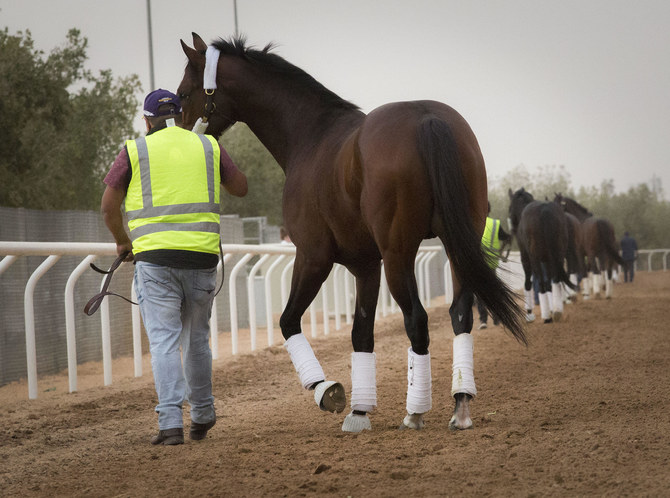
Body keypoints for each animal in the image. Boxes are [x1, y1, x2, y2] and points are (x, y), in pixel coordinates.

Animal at [180, 34, 532, 432]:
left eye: (185, 90)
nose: (177, 132)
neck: (311, 137)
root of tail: (427, 117)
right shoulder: (365, 265)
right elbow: (361, 332)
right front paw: (360, 411)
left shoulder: (313, 256)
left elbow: (288, 320)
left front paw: (327, 391)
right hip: (457, 244)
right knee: (460, 314)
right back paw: (460, 404)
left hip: (398, 254)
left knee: (418, 320)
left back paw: (415, 411)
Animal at [510, 188, 576, 322]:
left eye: (510, 206)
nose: (512, 227)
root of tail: (545, 210)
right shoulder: (547, 260)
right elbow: (549, 282)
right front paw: (553, 308)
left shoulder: (526, 258)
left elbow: (528, 283)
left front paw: (529, 313)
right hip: (558, 255)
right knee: (556, 279)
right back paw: (557, 310)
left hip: (535, 258)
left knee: (540, 283)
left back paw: (546, 316)